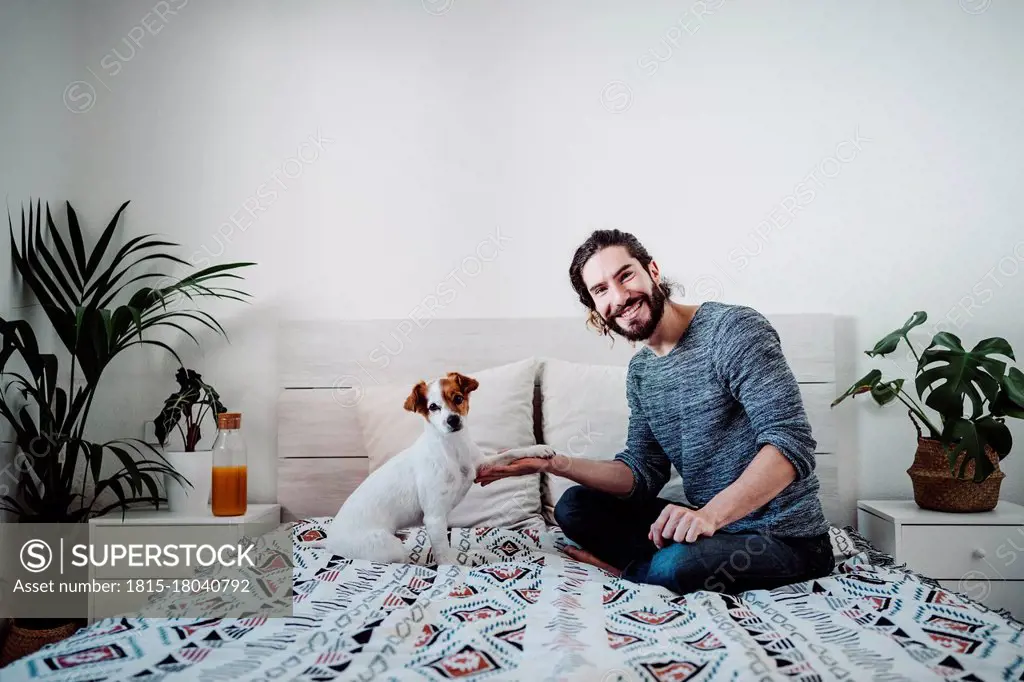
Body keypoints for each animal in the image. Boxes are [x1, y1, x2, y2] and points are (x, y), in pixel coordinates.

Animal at [325, 372, 552, 561]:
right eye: (433, 407)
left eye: (458, 398)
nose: (453, 420)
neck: (453, 448)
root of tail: (329, 541)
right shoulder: (434, 518)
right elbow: (444, 557)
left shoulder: (481, 465)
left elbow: (511, 453)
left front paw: (539, 449)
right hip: (389, 548)